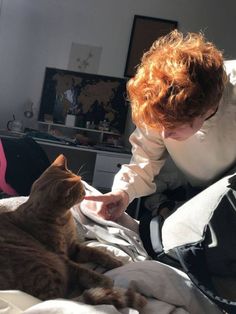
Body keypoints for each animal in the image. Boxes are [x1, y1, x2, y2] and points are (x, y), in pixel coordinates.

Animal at [0, 155, 146, 310]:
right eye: (81, 189)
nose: (86, 193)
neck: (63, 219)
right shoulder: (62, 257)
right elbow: (82, 271)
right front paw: (104, 280)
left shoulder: (73, 247)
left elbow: (97, 253)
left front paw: (115, 261)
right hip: (42, 264)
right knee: (67, 295)